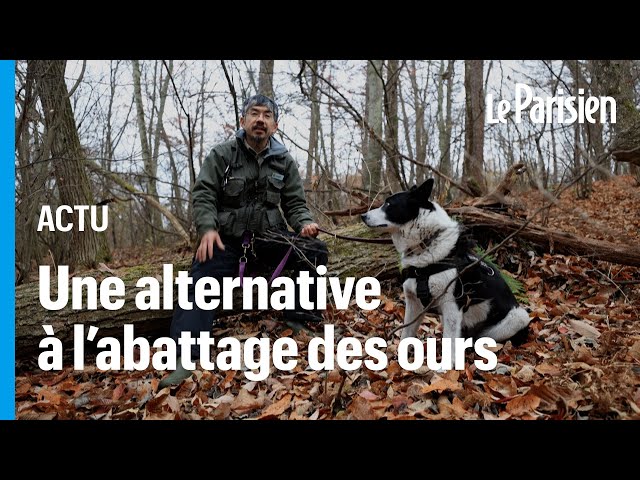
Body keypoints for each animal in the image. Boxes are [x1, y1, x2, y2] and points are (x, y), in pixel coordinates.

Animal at [360, 178, 528, 350]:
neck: (426, 244)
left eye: (388, 204)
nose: (362, 216)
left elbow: (450, 343)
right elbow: (406, 334)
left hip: (518, 318)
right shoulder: (414, 304)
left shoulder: (451, 307)